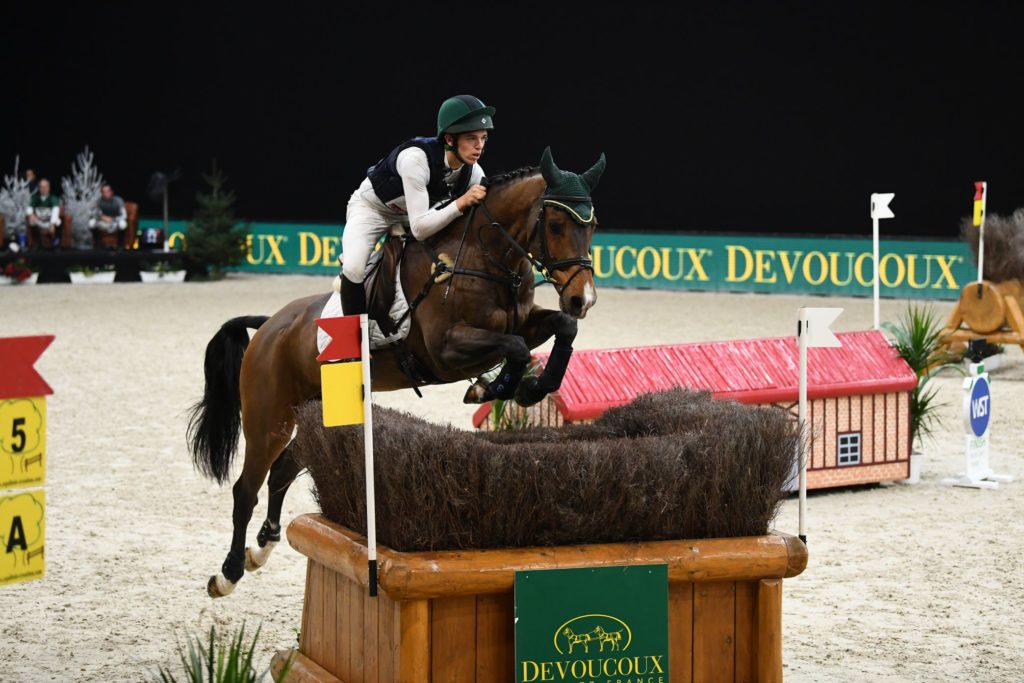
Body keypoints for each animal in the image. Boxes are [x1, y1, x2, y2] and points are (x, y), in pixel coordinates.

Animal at [188, 145, 602, 598]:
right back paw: (227, 574)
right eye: (557, 224)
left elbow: (560, 329)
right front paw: (495, 388)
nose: (583, 299)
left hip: (317, 409)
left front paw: (531, 387)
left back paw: (261, 549)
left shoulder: (524, 322)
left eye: (593, 225)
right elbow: (515, 348)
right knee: (247, 488)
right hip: (269, 417)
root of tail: (268, 326)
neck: (481, 258)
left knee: (281, 472)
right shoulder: (445, 350)